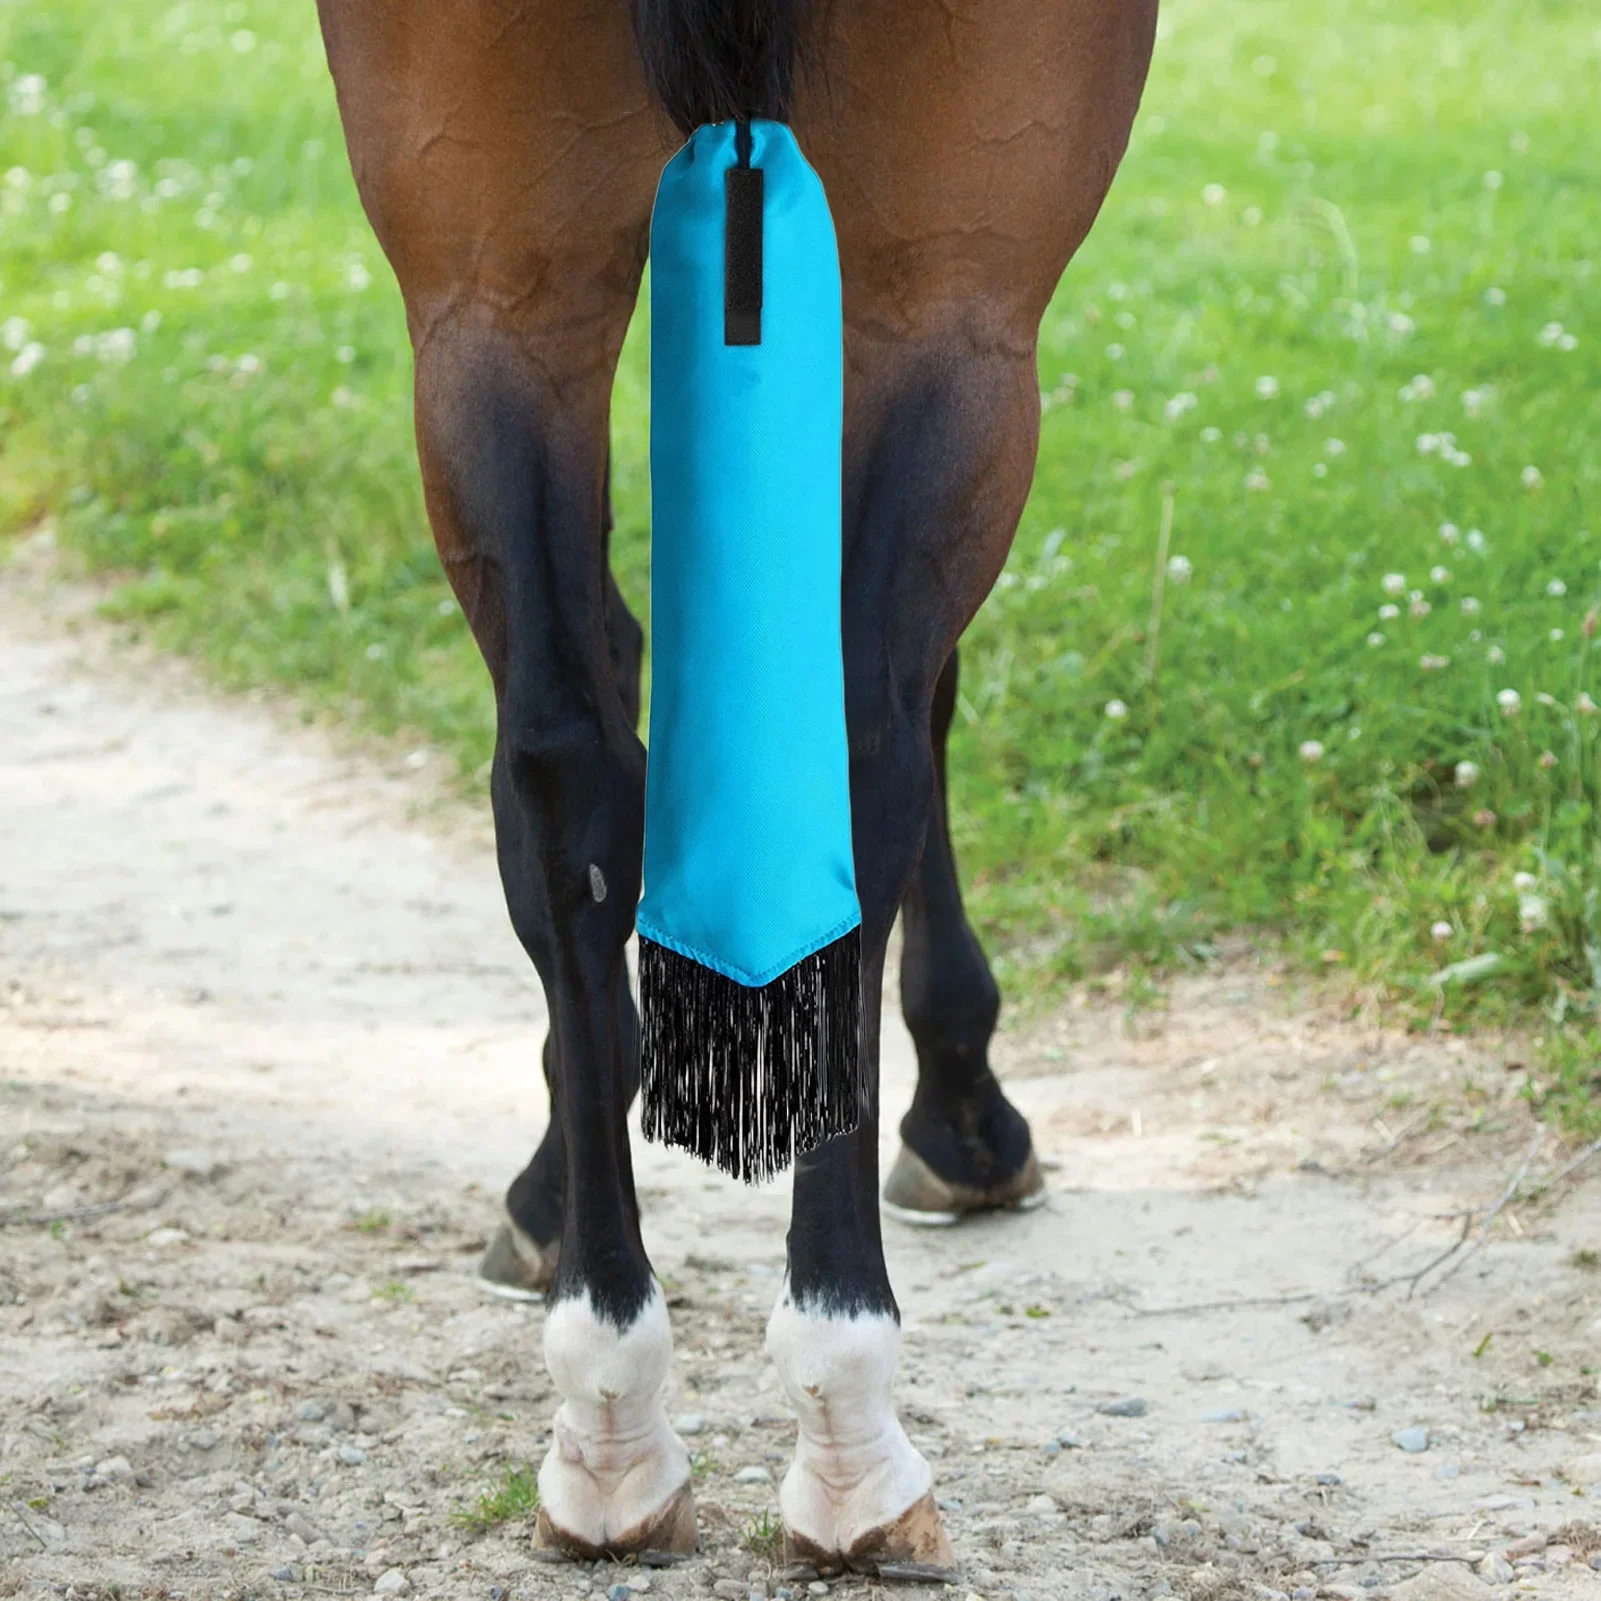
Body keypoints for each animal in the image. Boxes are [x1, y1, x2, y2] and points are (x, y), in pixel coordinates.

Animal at [315, 0, 1157, 1571]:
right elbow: (911, 704)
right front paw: (960, 1106)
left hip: (492, 276)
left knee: (562, 761)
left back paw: (608, 1405)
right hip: (952, 273)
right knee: (860, 745)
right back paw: (848, 1410)